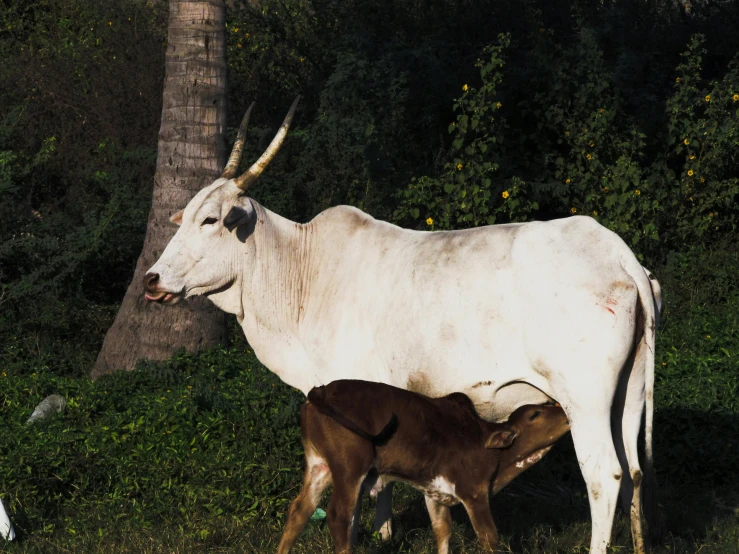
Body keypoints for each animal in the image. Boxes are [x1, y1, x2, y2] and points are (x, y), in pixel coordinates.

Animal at [278, 380, 572, 552]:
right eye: (536, 414)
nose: (566, 412)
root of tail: (320, 390)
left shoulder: (435, 494)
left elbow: (443, 532)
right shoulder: (473, 491)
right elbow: (489, 537)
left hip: (319, 464)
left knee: (299, 510)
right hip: (349, 465)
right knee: (338, 515)